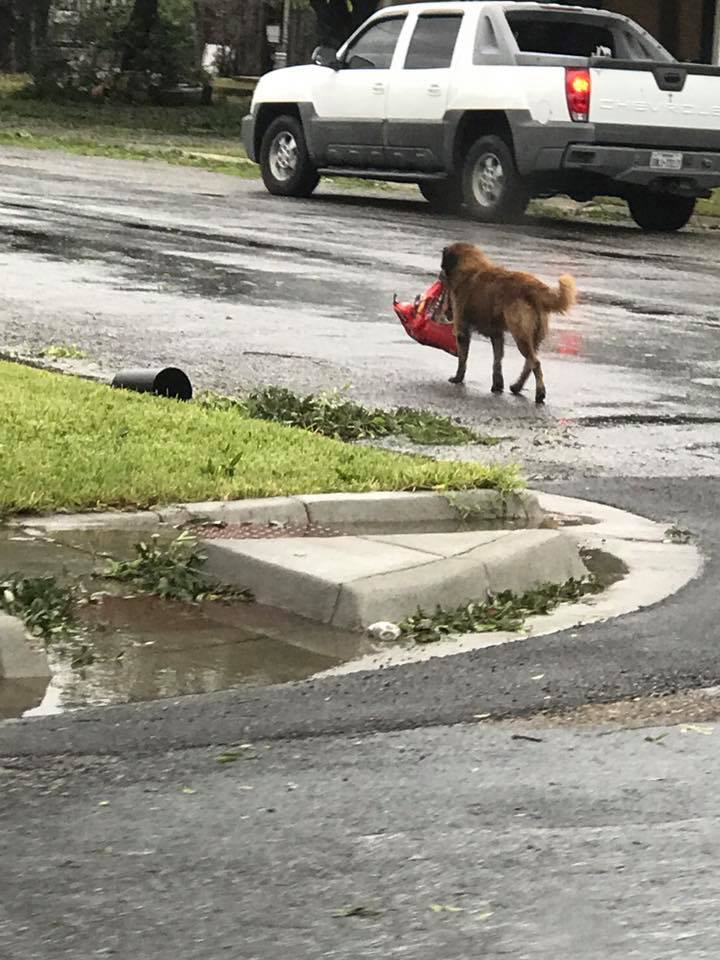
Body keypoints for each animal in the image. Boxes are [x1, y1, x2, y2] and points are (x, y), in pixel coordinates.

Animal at [436, 244, 576, 404]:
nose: (439, 275)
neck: (470, 267)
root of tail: (533, 286)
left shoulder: (462, 331)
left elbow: (463, 359)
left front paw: (458, 378)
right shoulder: (497, 335)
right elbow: (497, 361)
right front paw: (497, 385)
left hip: (520, 335)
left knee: (535, 363)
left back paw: (539, 393)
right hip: (533, 337)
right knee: (529, 363)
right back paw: (517, 386)